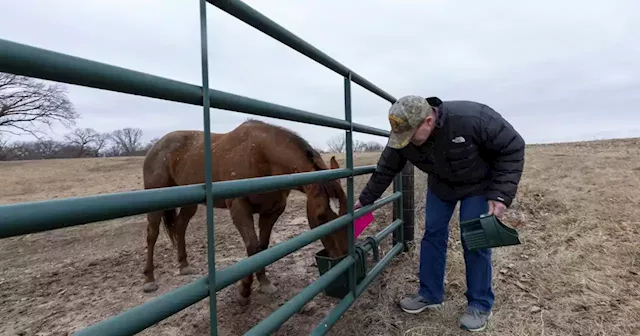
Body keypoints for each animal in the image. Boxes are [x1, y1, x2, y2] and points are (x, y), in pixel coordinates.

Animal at [142, 119, 348, 304]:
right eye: (320, 216)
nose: (341, 258)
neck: (260, 156)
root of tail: (157, 145)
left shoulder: (272, 212)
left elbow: (261, 247)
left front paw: (263, 283)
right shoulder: (239, 209)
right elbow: (252, 246)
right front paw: (245, 291)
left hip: (189, 203)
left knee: (180, 227)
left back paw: (184, 266)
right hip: (155, 201)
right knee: (152, 234)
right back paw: (149, 280)